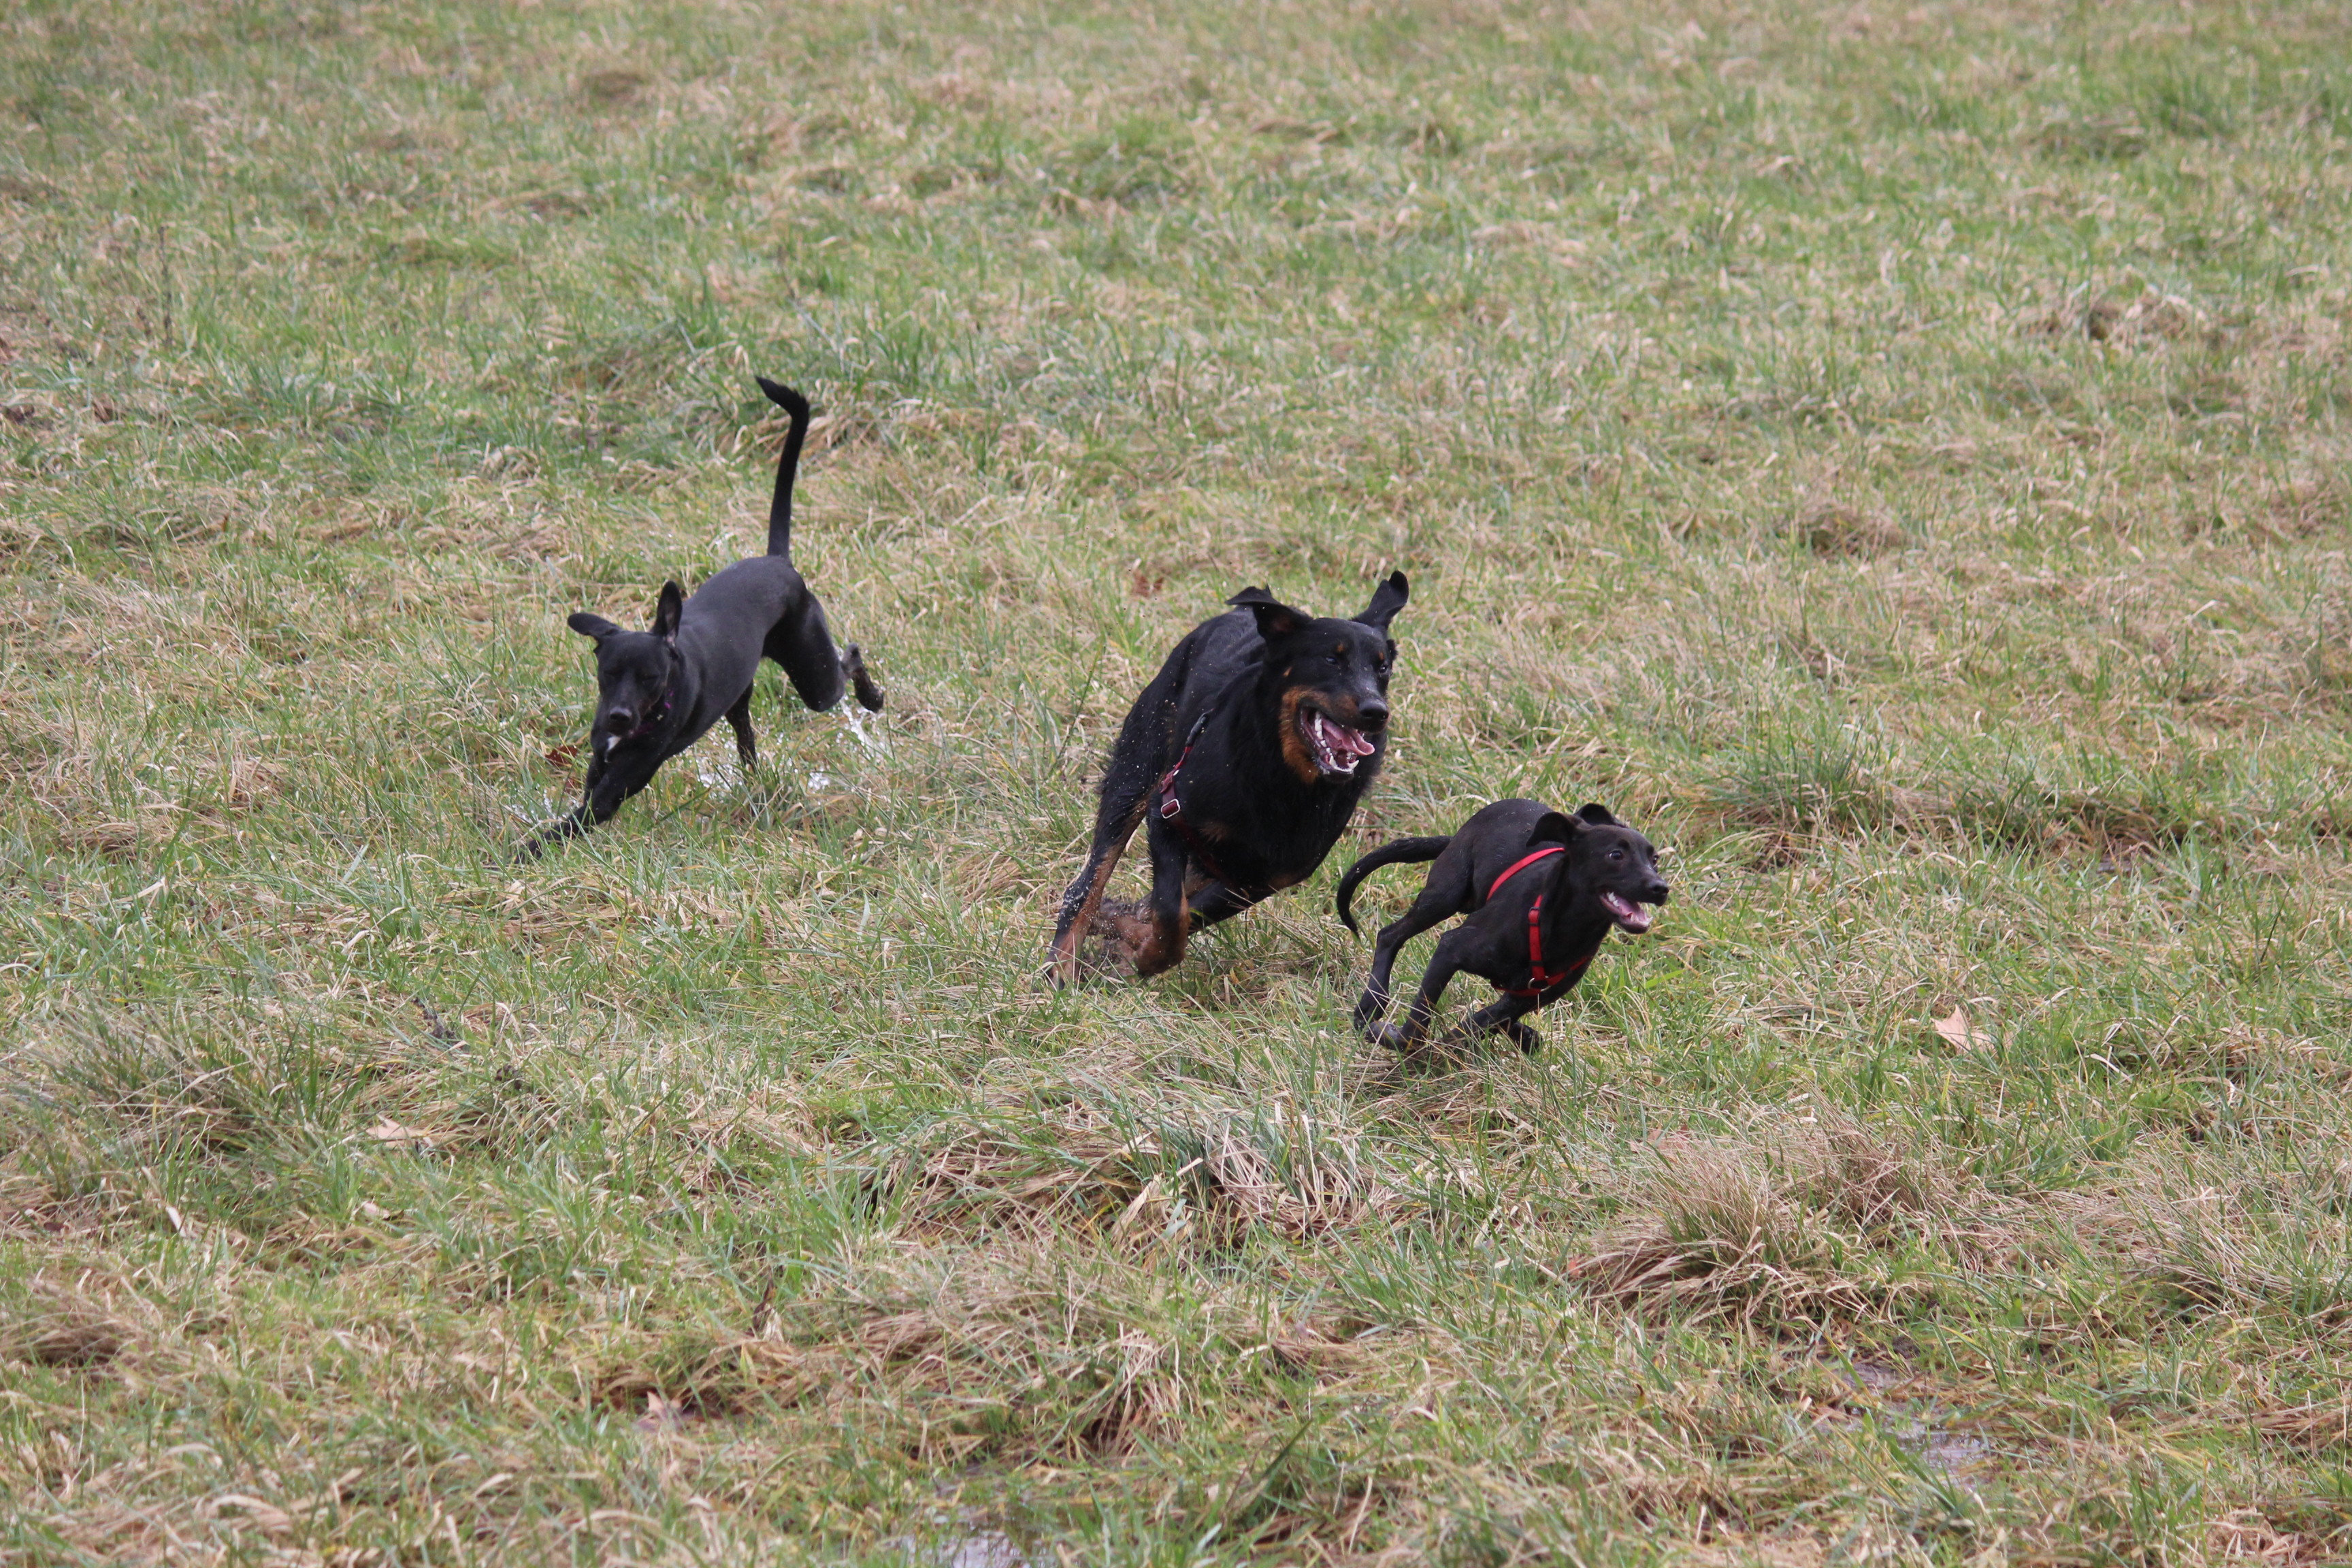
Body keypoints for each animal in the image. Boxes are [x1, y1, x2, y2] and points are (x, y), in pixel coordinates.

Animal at [522, 377, 883, 855]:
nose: (618, 716)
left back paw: (872, 698)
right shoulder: (600, 760)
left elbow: (578, 819)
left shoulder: (619, 786)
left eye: (651, 678)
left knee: (850, 659)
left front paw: (523, 852)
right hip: (740, 698)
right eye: (608, 672)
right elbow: (583, 796)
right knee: (748, 739)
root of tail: (778, 562)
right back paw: (756, 784)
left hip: (816, 678)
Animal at [1049, 573, 1409, 984]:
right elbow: (1171, 912)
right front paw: (1149, 955)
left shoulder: (1262, 878)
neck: (1282, 778)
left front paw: (1132, 943)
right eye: (1331, 659)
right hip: (1138, 768)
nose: (1376, 711)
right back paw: (1061, 965)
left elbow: (1185, 914)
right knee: (1087, 883)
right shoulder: (1167, 813)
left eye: (1383, 669)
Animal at [1335, 799, 1668, 1052]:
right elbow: (1419, 1023)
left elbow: (1486, 1020)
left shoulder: (1533, 996)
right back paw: (1370, 1005)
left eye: (1655, 859)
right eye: (1616, 854)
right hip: (1445, 895)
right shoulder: (1450, 950)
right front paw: (1396, 1040)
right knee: (1390, 935)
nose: (1661, 888)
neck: (1563, 930)